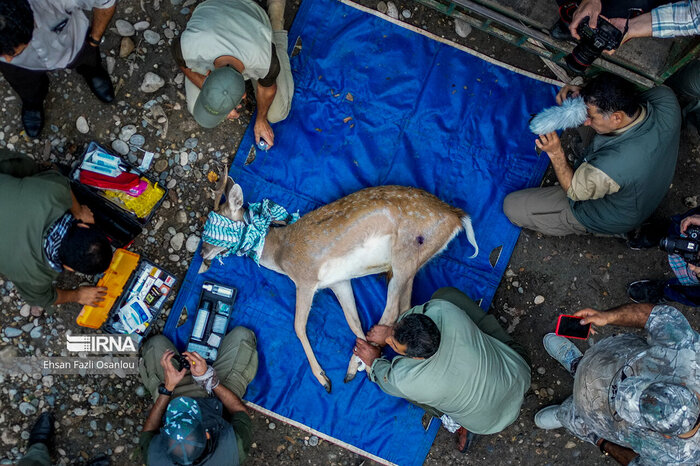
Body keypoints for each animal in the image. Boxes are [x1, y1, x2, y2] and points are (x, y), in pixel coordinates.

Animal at [200, 176, 478, 394]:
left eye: (220, 223)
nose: (201, 254)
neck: (280, 254)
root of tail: (457, 217)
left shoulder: (307, 278)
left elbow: (298, 326)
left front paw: (324, 378)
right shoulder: (339, 281)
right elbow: (353, 320)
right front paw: (359, 364)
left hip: (405, 252)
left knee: (391, 311)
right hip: (415, 264)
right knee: (405, 306)